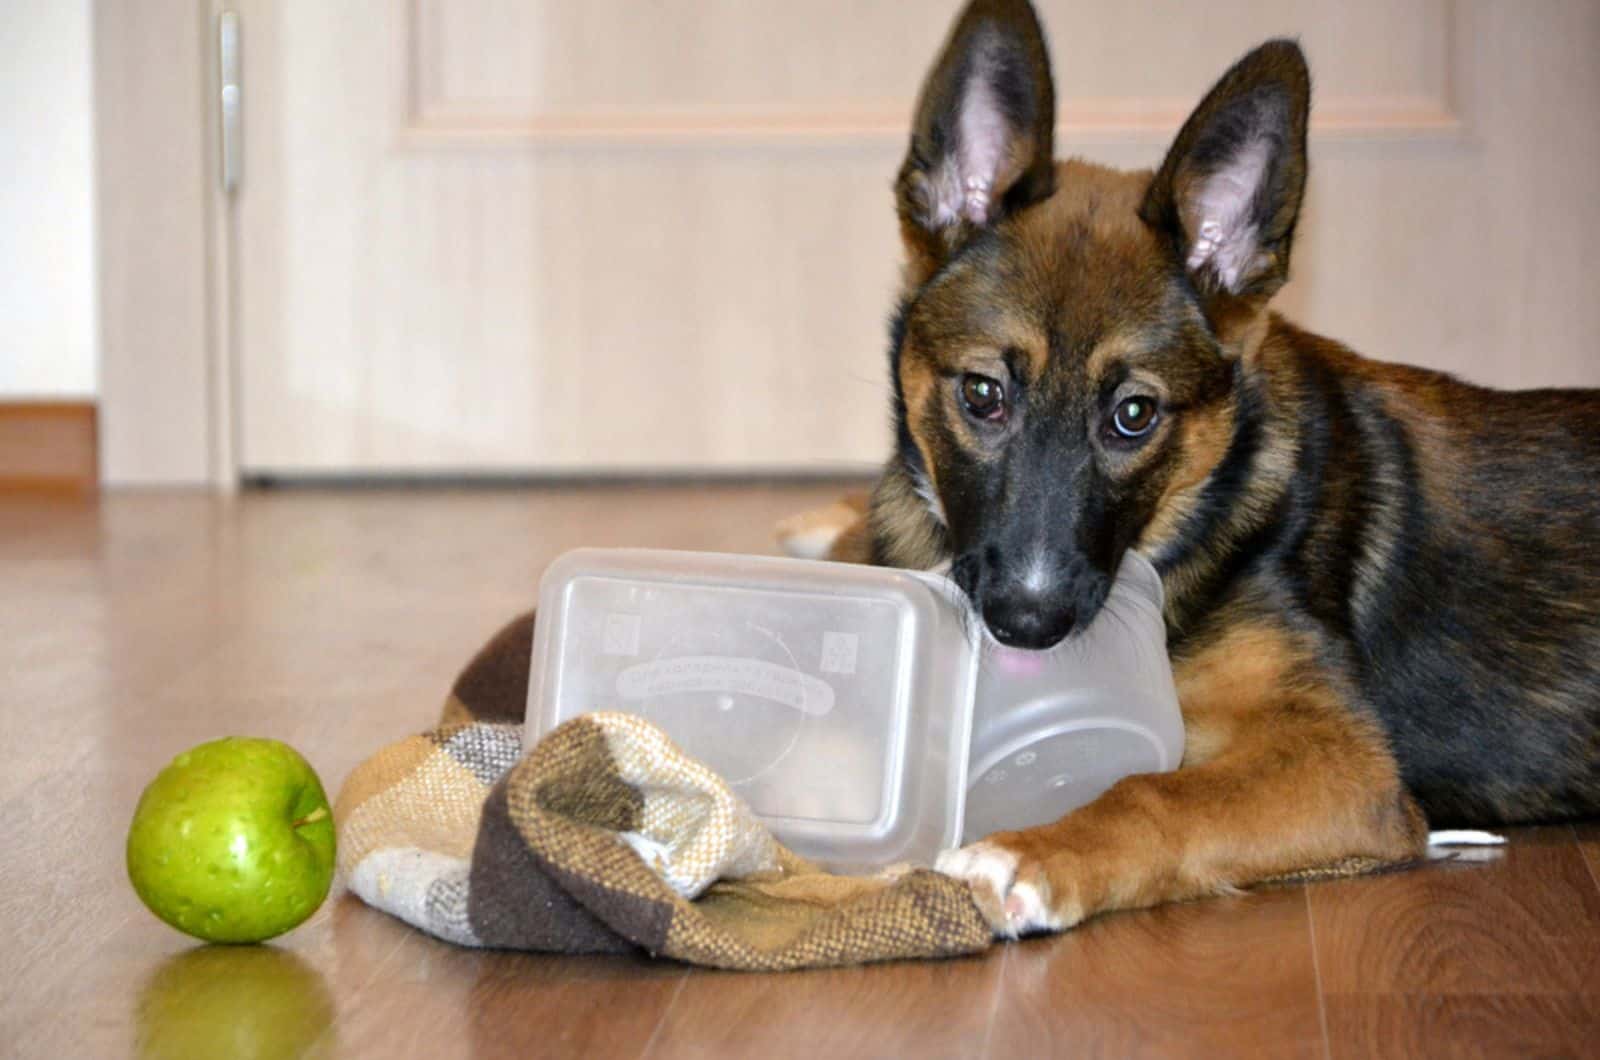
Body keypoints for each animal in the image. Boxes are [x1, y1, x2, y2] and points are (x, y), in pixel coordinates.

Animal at [825, 0, 1600, 935]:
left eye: (1134, 415)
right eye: (982, 393)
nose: (1027, 622)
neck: (1195, 520)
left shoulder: (1339, 759)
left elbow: (1153, 793)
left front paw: (1032, 852)